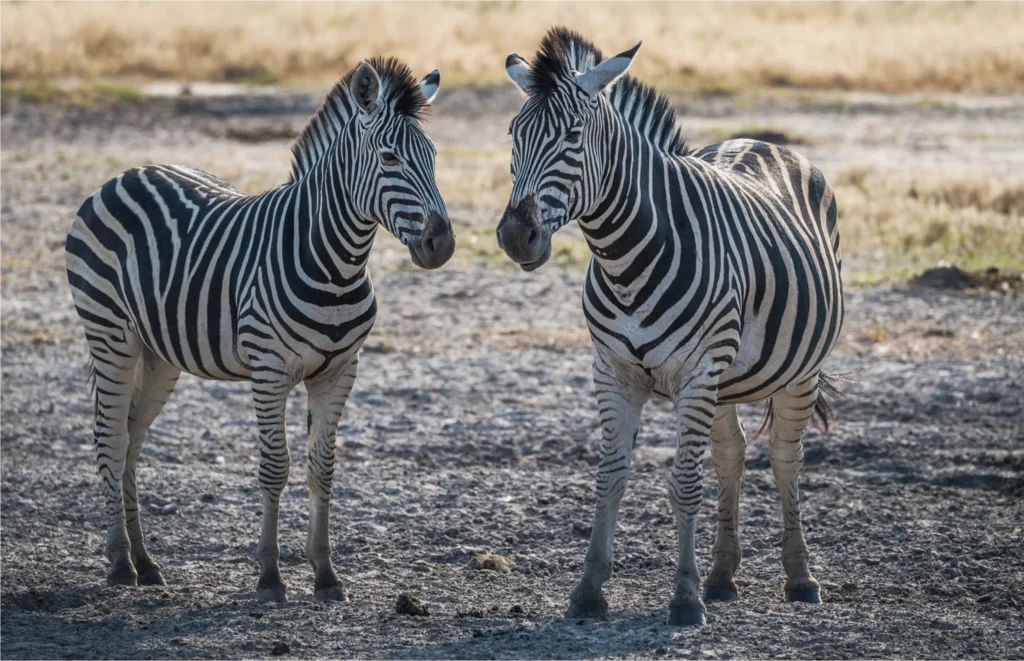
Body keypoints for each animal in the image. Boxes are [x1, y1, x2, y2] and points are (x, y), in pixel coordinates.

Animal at [65, 57, 454, 602]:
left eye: (433, 157)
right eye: (390, 157)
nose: (443, 244)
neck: (336, 264)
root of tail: (127, 173)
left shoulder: (340, 372)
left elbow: (321, 469)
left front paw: (325, 574)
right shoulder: (269, 372)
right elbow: (276, 468)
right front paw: (270, 575)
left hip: (158, 353)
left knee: (132, 441)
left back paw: (146, 562)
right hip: (109, 335)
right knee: (111, 439)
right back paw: (121, 564)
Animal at [496, 28, 844, 626]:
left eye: (572, 136)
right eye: (515, 135)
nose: (517, 236)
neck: (625, 257)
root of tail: (761, 141)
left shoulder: (697, 370)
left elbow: (683, 483)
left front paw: (683, 598)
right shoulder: (613, 370)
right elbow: (611, 474)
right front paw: (589, 590)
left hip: (796, 371)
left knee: (785, 459)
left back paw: (799, 579)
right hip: (727, 380)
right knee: (731, 456)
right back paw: (722, 577)